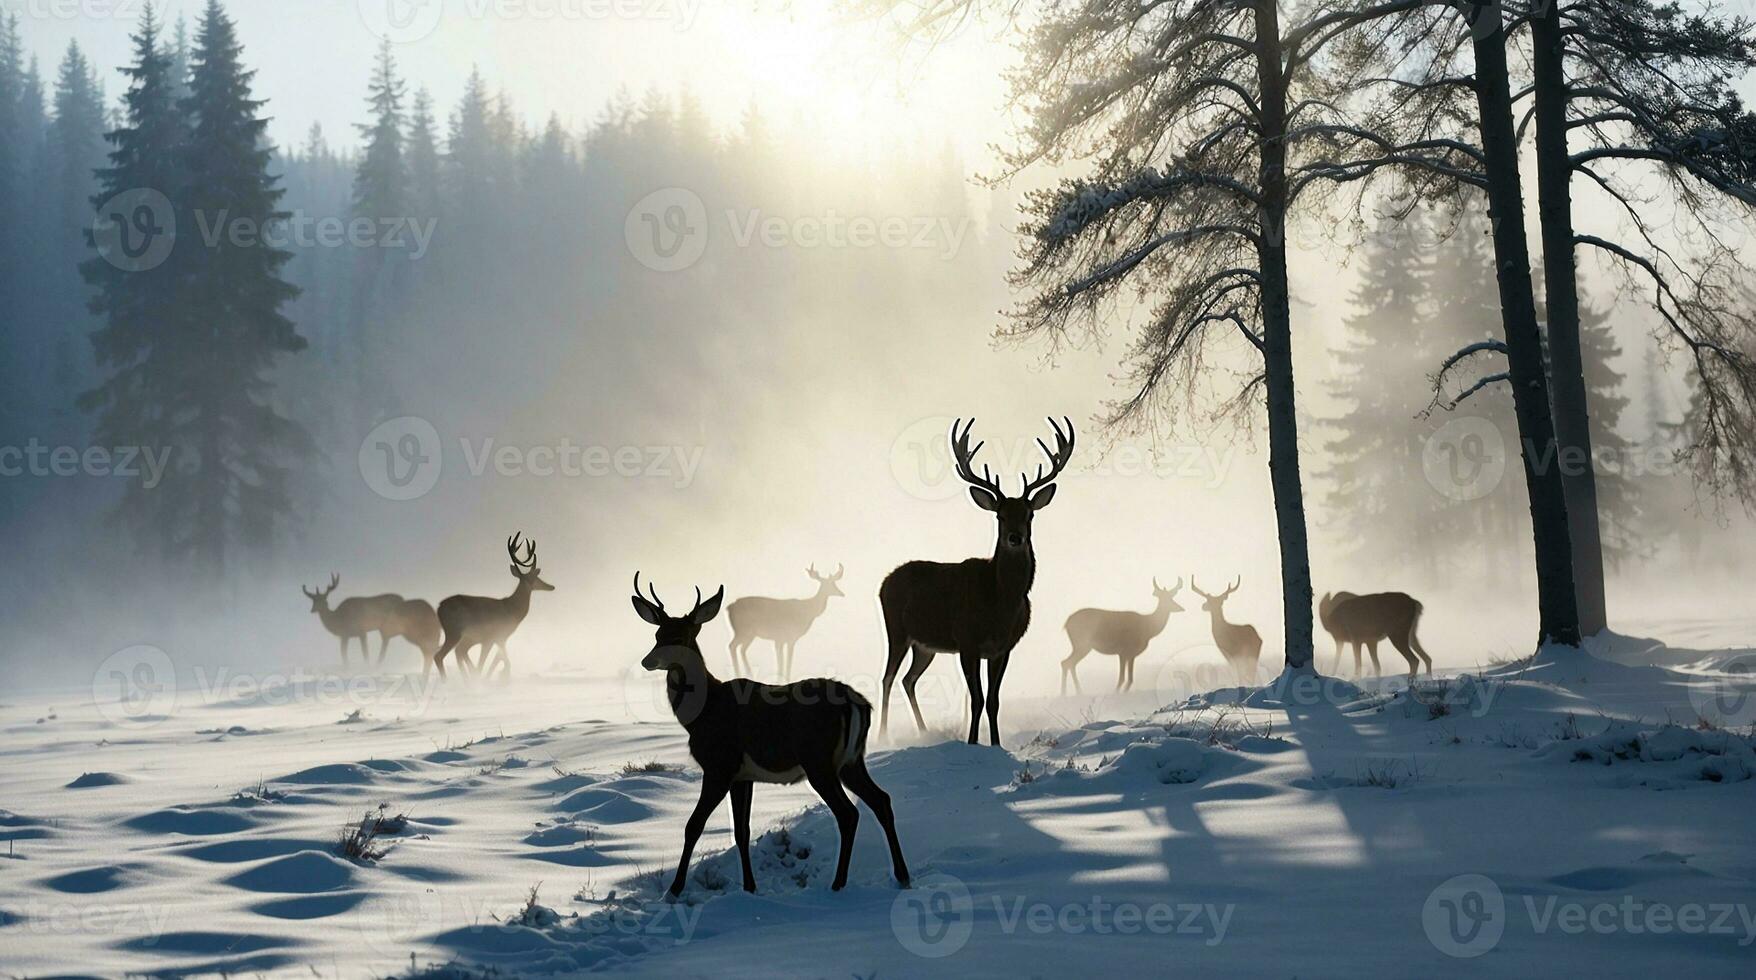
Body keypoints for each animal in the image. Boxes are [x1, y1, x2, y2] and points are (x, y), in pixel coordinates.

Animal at [430, 537, 547, 684]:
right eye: (535, 578)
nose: (550, 586)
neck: (512, 609)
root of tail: (439, 608)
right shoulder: (492, 637)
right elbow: (489, 662)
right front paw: (496, 677)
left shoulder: (499, 638)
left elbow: (498, 661)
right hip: (454, 631)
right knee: (441, 655)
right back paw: (449, 682)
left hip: (463, 636)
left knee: (457, 652)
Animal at [632, 576, 913, 906]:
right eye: (658, 633)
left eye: (682, 635)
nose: (648, 660)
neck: (702, 713)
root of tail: (857, 703)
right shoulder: (743, 776)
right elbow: (741, 831)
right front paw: (750, 887)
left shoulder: (719, 766)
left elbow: (693, 826)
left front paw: (673, 890)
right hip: (851, 760)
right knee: (881, 800)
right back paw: (902, 876)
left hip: (819, 761)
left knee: (848, 813)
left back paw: (838, 884)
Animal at [878, 412, 1067, 744]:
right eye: (1000, 515)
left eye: (1029, 514)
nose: (1015, 538)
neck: (999, 603)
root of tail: (884, 582)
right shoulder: (967, 641)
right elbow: (976, 698)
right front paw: (971, 743)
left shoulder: (1003, 648)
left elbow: (993, 700)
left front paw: (996, 744)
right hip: (896, 629)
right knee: (888, 678)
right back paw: (883, 736)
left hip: (925, 645)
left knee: (908, 679)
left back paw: (924, 731)